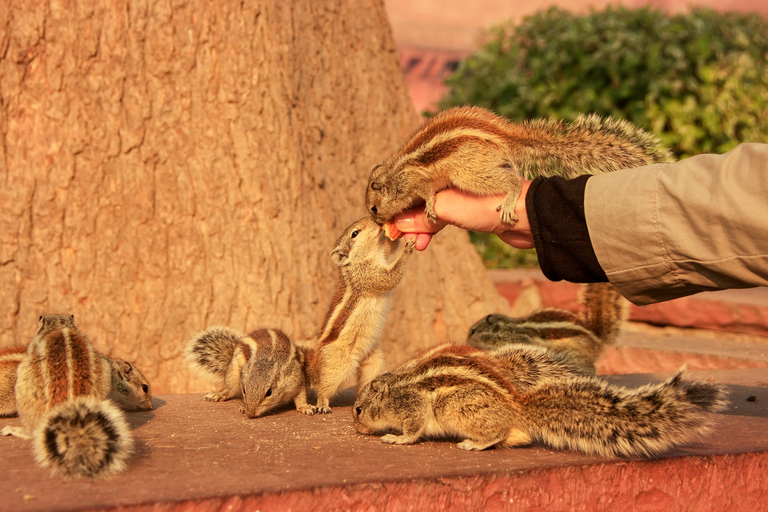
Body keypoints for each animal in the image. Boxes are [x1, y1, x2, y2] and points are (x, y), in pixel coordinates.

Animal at [184, 326, 314, 418]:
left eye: (269, 392)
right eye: (244, 390)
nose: (250, 414)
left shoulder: (296, 378)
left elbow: (301, 395)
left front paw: (304, 407)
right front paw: (243, 406)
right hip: (233, 372)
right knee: (230, 388)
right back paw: (219, 394)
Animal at [304, 215, 414, 412]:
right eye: (355, 233)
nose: (374, 219)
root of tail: (316, 361)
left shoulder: (383, 254)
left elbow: (390, 248)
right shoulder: (369, 276)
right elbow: (391, 277)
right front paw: (408, 248)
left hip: (374, 359)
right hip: (338, 367)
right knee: (324, 387)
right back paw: (322, 404)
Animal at [354, 340, 728, 456]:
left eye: (358, 409)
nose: (356, 429)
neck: (392, 389)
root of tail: (518, 407)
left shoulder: (412, 406)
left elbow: (413, 428)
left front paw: (395, 438)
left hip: (454, 408)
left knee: (494, 433)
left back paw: (474, 443)